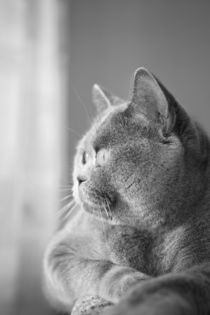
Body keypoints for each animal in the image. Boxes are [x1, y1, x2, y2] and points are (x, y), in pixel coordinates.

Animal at [43, 67, 210, 315]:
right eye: (83, 157)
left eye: (102, 156)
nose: (78, 178)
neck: (150, 234)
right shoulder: (60, 252)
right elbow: (101, 269)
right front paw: (133, 284)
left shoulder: (202, 265)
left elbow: (172, 283)